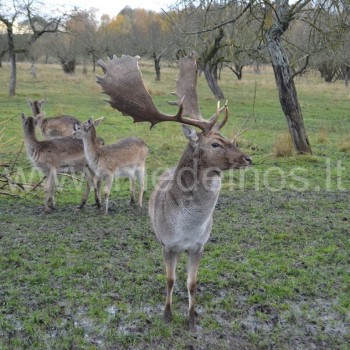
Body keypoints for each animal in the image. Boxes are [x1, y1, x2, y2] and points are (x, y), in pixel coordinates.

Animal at [95, 54, 252, 330]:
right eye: (215, 143)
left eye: (228, 138)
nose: (247, 158)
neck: (187, 227)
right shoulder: (169, 245)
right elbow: (169, 280)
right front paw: (167, 314)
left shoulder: (199, 246)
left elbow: (192, 283)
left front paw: (191, 317)